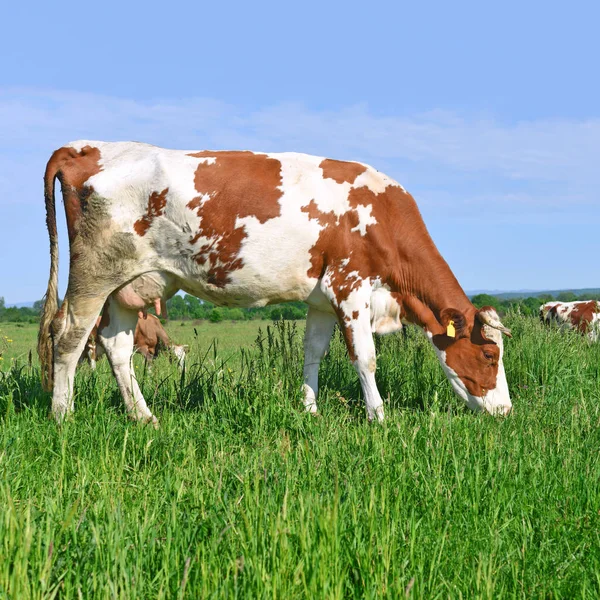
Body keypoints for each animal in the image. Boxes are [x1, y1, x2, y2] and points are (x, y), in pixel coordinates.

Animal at [39, 139, 512, 426]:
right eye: (490, 354)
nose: (506, 410)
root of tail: (89, 147)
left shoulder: (322, 299)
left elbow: (313, 353)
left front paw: (310, 409)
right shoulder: (350, 285)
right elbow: (366, 358)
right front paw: (378, 417)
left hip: (129, 286)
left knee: (116, 347)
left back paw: (143, 417)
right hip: (94, 274)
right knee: (69, 337)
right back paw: (63, 416)